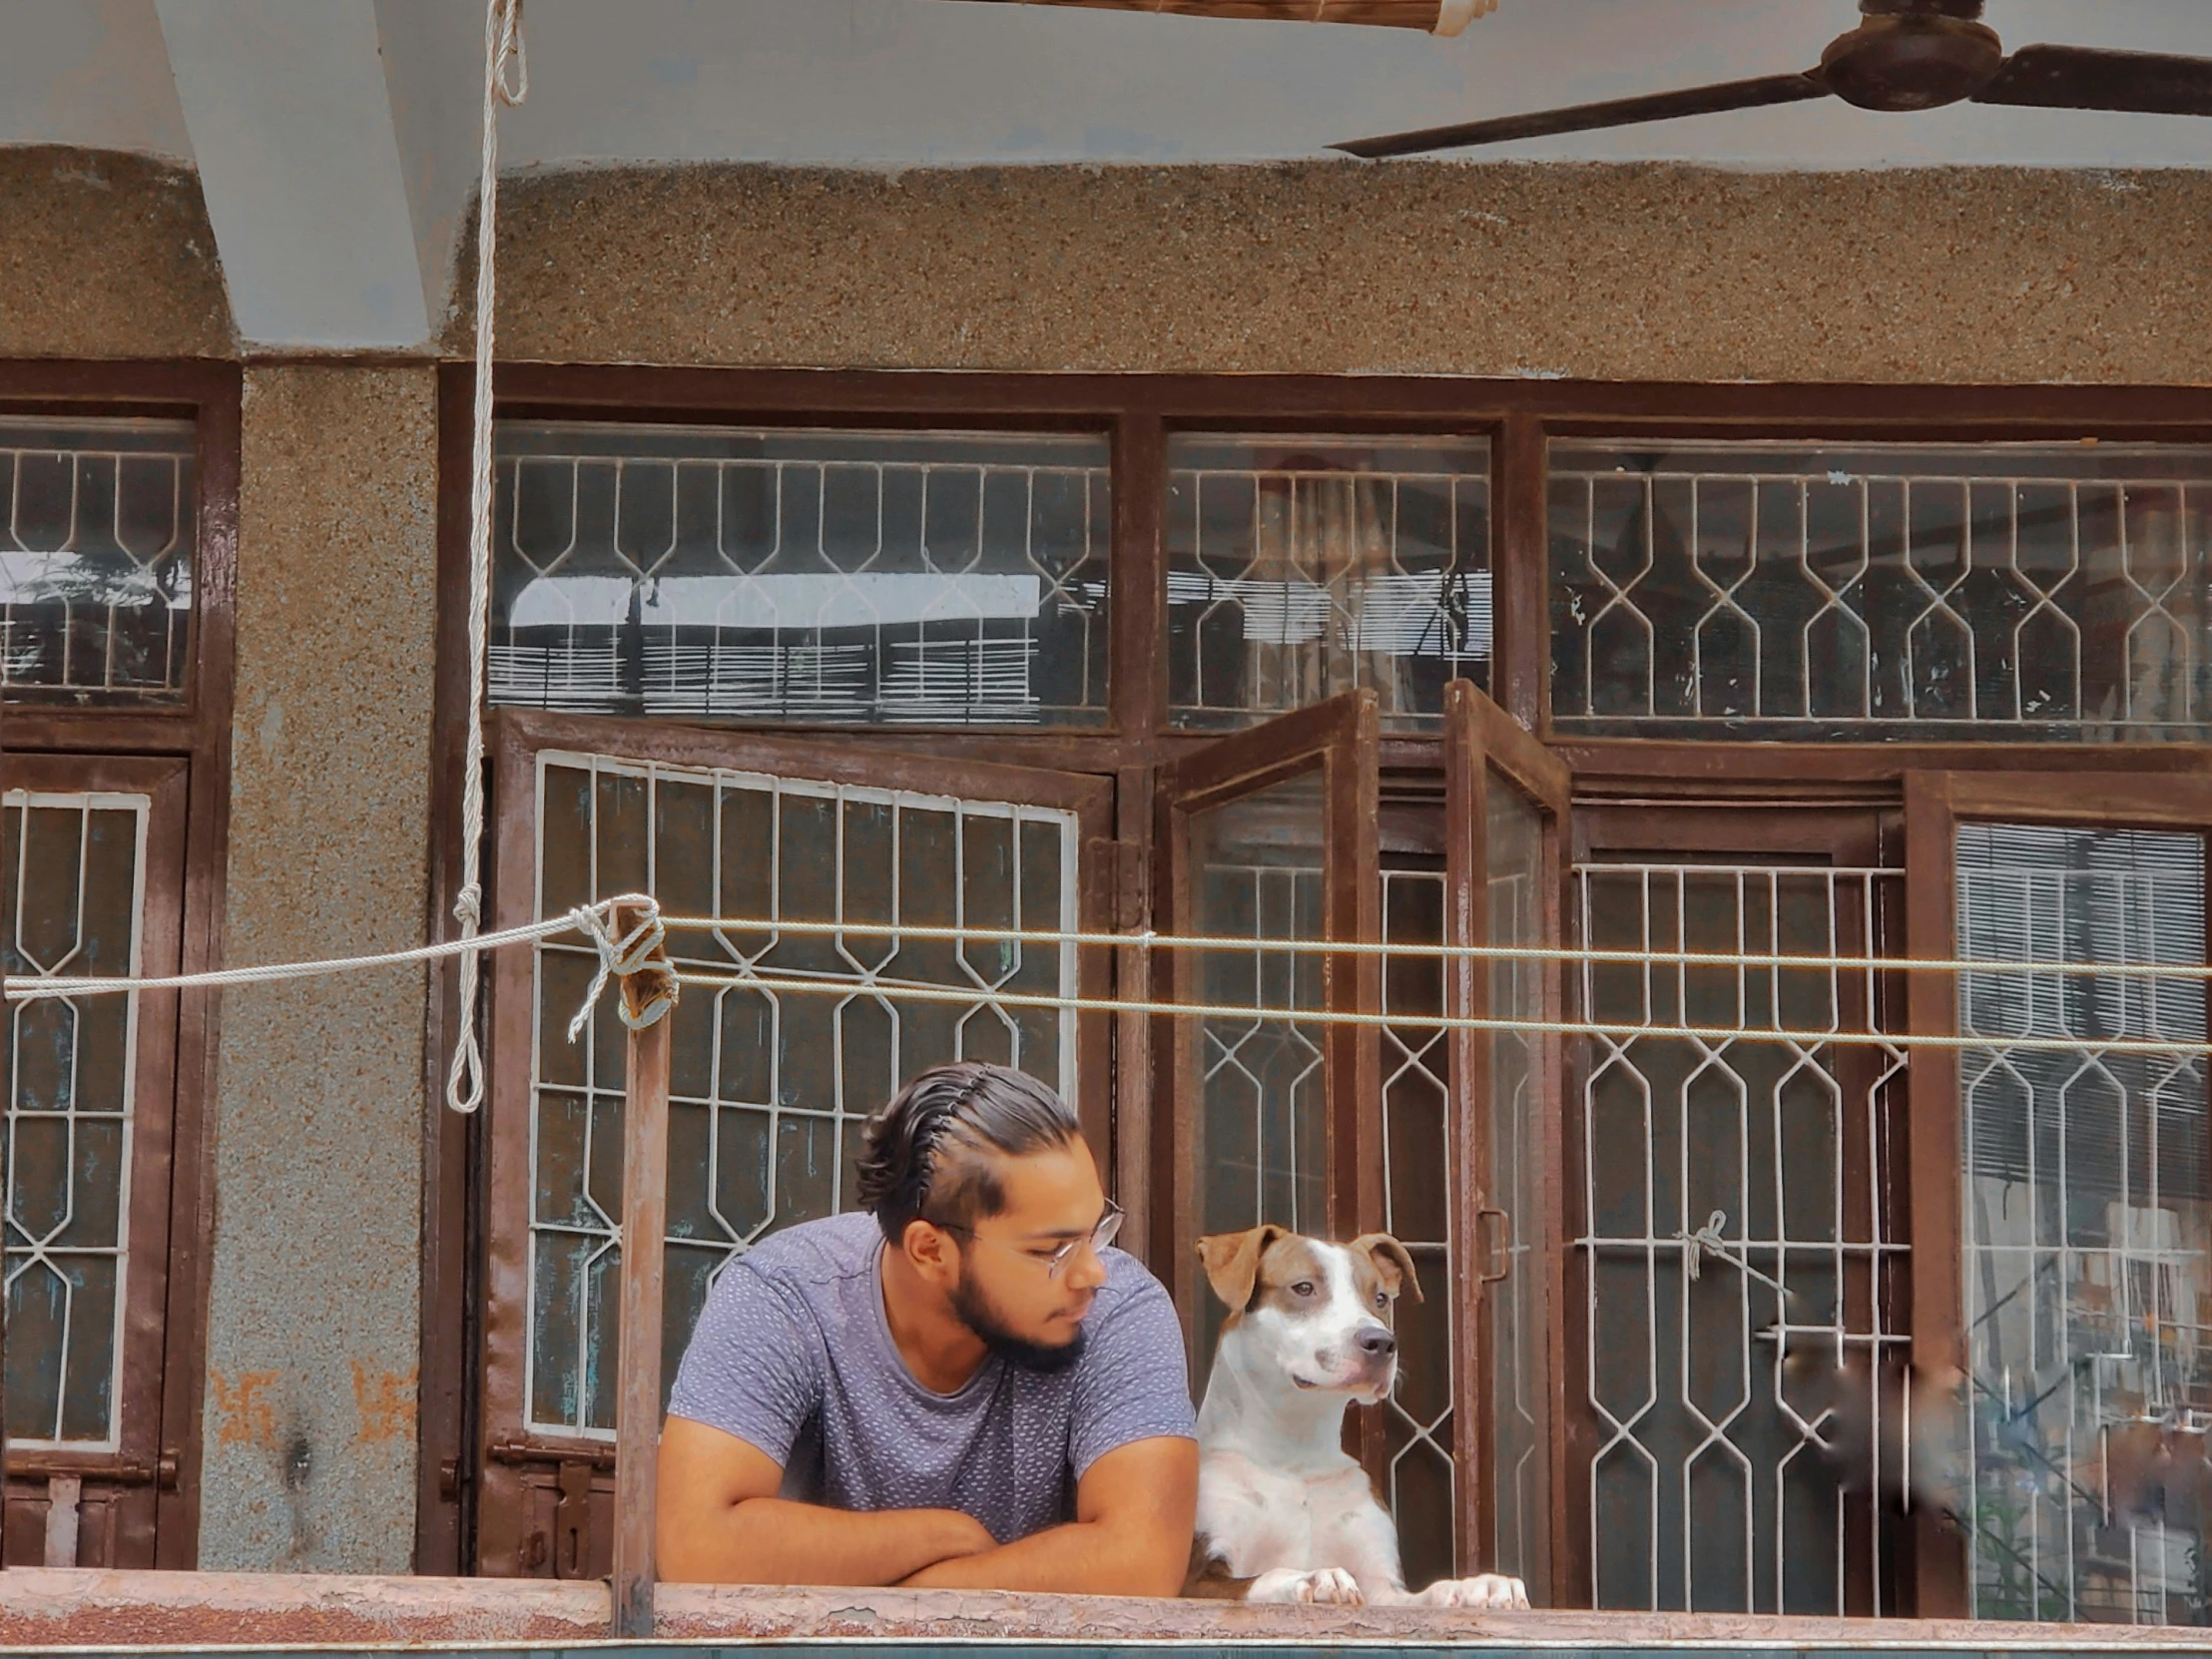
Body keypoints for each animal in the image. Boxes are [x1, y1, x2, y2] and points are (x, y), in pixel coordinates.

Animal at [1185, 1230, 1530, 1601]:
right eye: (1303, 1288)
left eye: (1380, 1298)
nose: (1380, 1341)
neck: (1296, 1448)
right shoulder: (1194, 1579)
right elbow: (1261, 1578)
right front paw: (1313, 1577)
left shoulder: (1383, 1588)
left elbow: (1431, 1593)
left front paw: (1478, 1585)